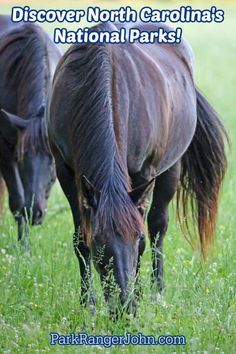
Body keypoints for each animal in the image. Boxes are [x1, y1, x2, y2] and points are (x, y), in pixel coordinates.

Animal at [0, 15, 61, 243]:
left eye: (53, 163)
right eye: (21, 159)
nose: (35, 213)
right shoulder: (5, 147)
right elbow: (17, 202)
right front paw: (23, 246)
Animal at [46, 22, 229, 316]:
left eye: (135, 240)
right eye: (100, 244)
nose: (123, 309)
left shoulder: (144, 174)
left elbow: (146, 231)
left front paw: (139, 294)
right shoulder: (65, 170)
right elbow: (79, 238)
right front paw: (88, 303)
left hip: (170, 169)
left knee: (158, 225)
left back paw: (156, 289)